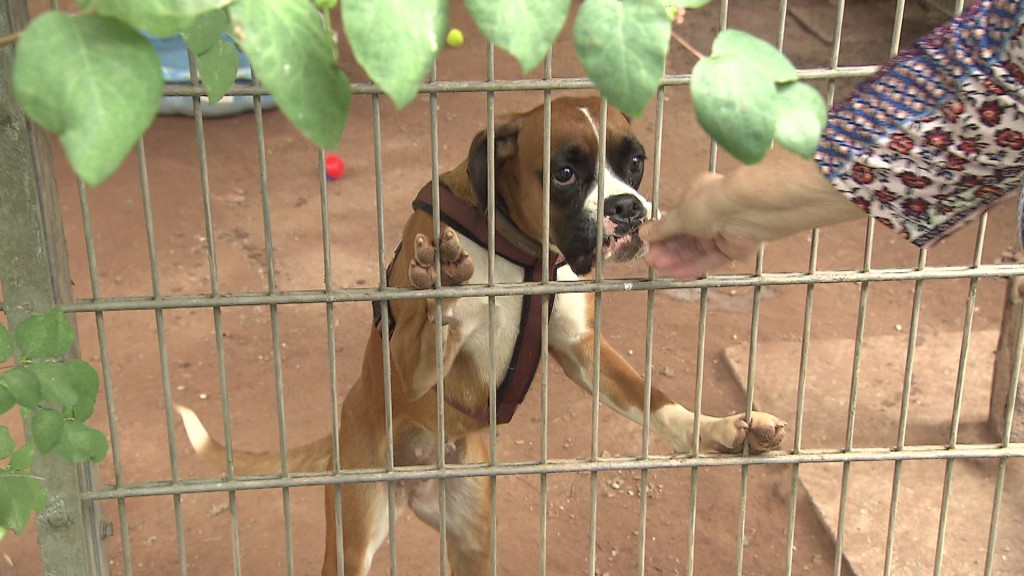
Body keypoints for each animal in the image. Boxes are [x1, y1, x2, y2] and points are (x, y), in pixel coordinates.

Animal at [176, 97, 782, 573]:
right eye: (564, 173)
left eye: (634, 162)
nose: (627, 208)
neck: (522, 250)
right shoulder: (406, 360)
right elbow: (427, 338)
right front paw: (443, 292)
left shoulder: (583, 350)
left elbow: (655, 402)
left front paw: (718, 429)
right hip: (354, 533)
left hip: (471, 537)